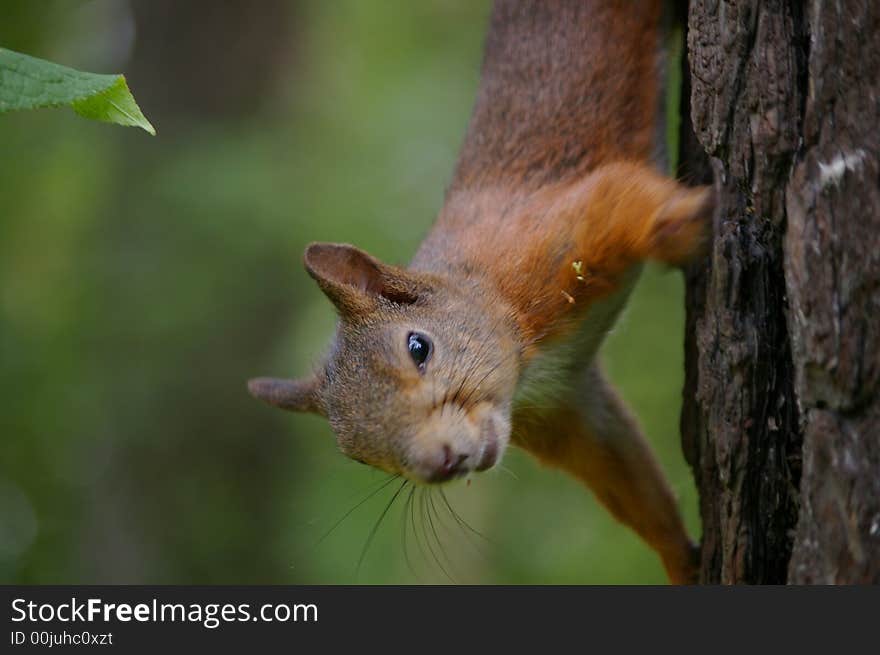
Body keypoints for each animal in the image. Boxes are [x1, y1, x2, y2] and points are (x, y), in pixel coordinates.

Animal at [248, 0, 716, 584]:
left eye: (418, 347)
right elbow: (627, 480)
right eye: (358, 454)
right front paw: (681, 559)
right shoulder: (564, 409)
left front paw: (691, 223)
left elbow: (622, 199)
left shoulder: (555, 231)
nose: (441, 462)